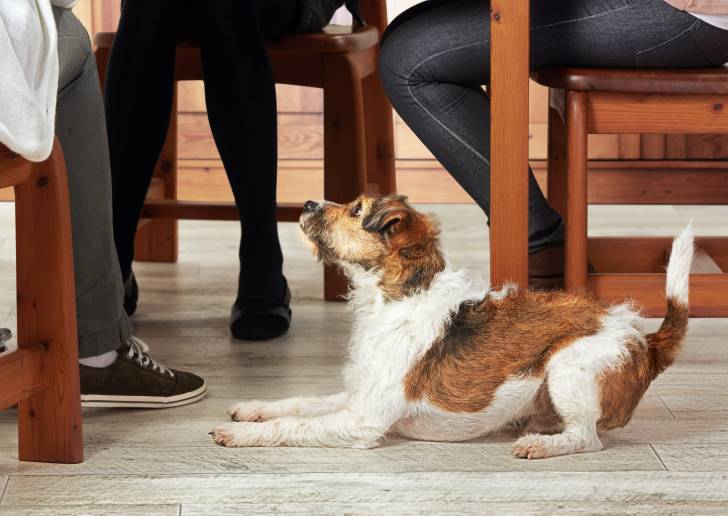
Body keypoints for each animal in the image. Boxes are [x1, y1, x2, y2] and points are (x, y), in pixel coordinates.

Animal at [212, 194, 693, 459]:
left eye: (356, 210)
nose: (309, 203)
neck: (397, 297)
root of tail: (647, 341)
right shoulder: (356, 394)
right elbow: (301, 403)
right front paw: (253, 408)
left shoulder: (364, 418)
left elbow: (293, 426)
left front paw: (240, 433)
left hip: (568, 366)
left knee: (586, 438)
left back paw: (540, 444)